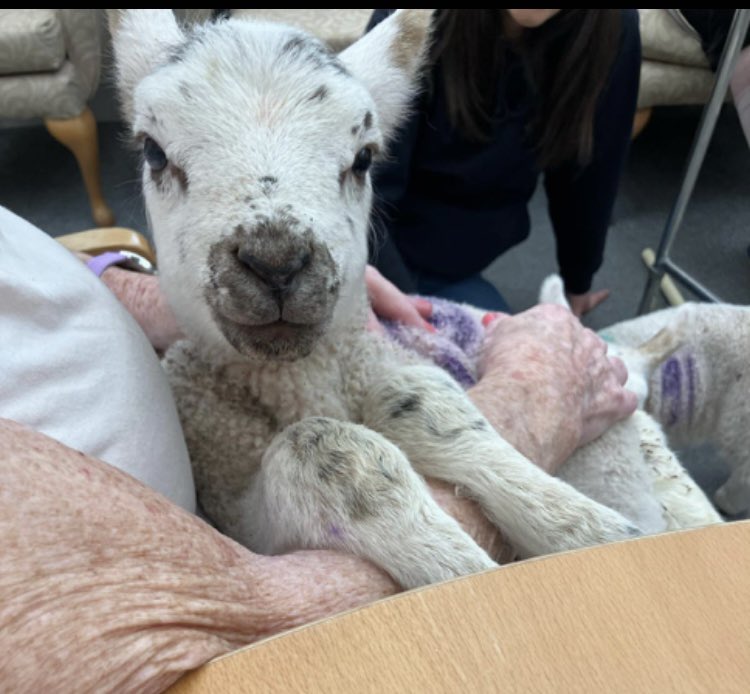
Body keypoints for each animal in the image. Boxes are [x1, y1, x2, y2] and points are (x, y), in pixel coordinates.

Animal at [111, 9, 740, 588]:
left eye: (364, 158)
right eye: (154, 153)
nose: (276, 261)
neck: (305, 379)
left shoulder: (385, 364)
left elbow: (423, 401)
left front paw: (589, 530)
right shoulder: (234, 508)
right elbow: (329, 451)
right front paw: (459, 566)